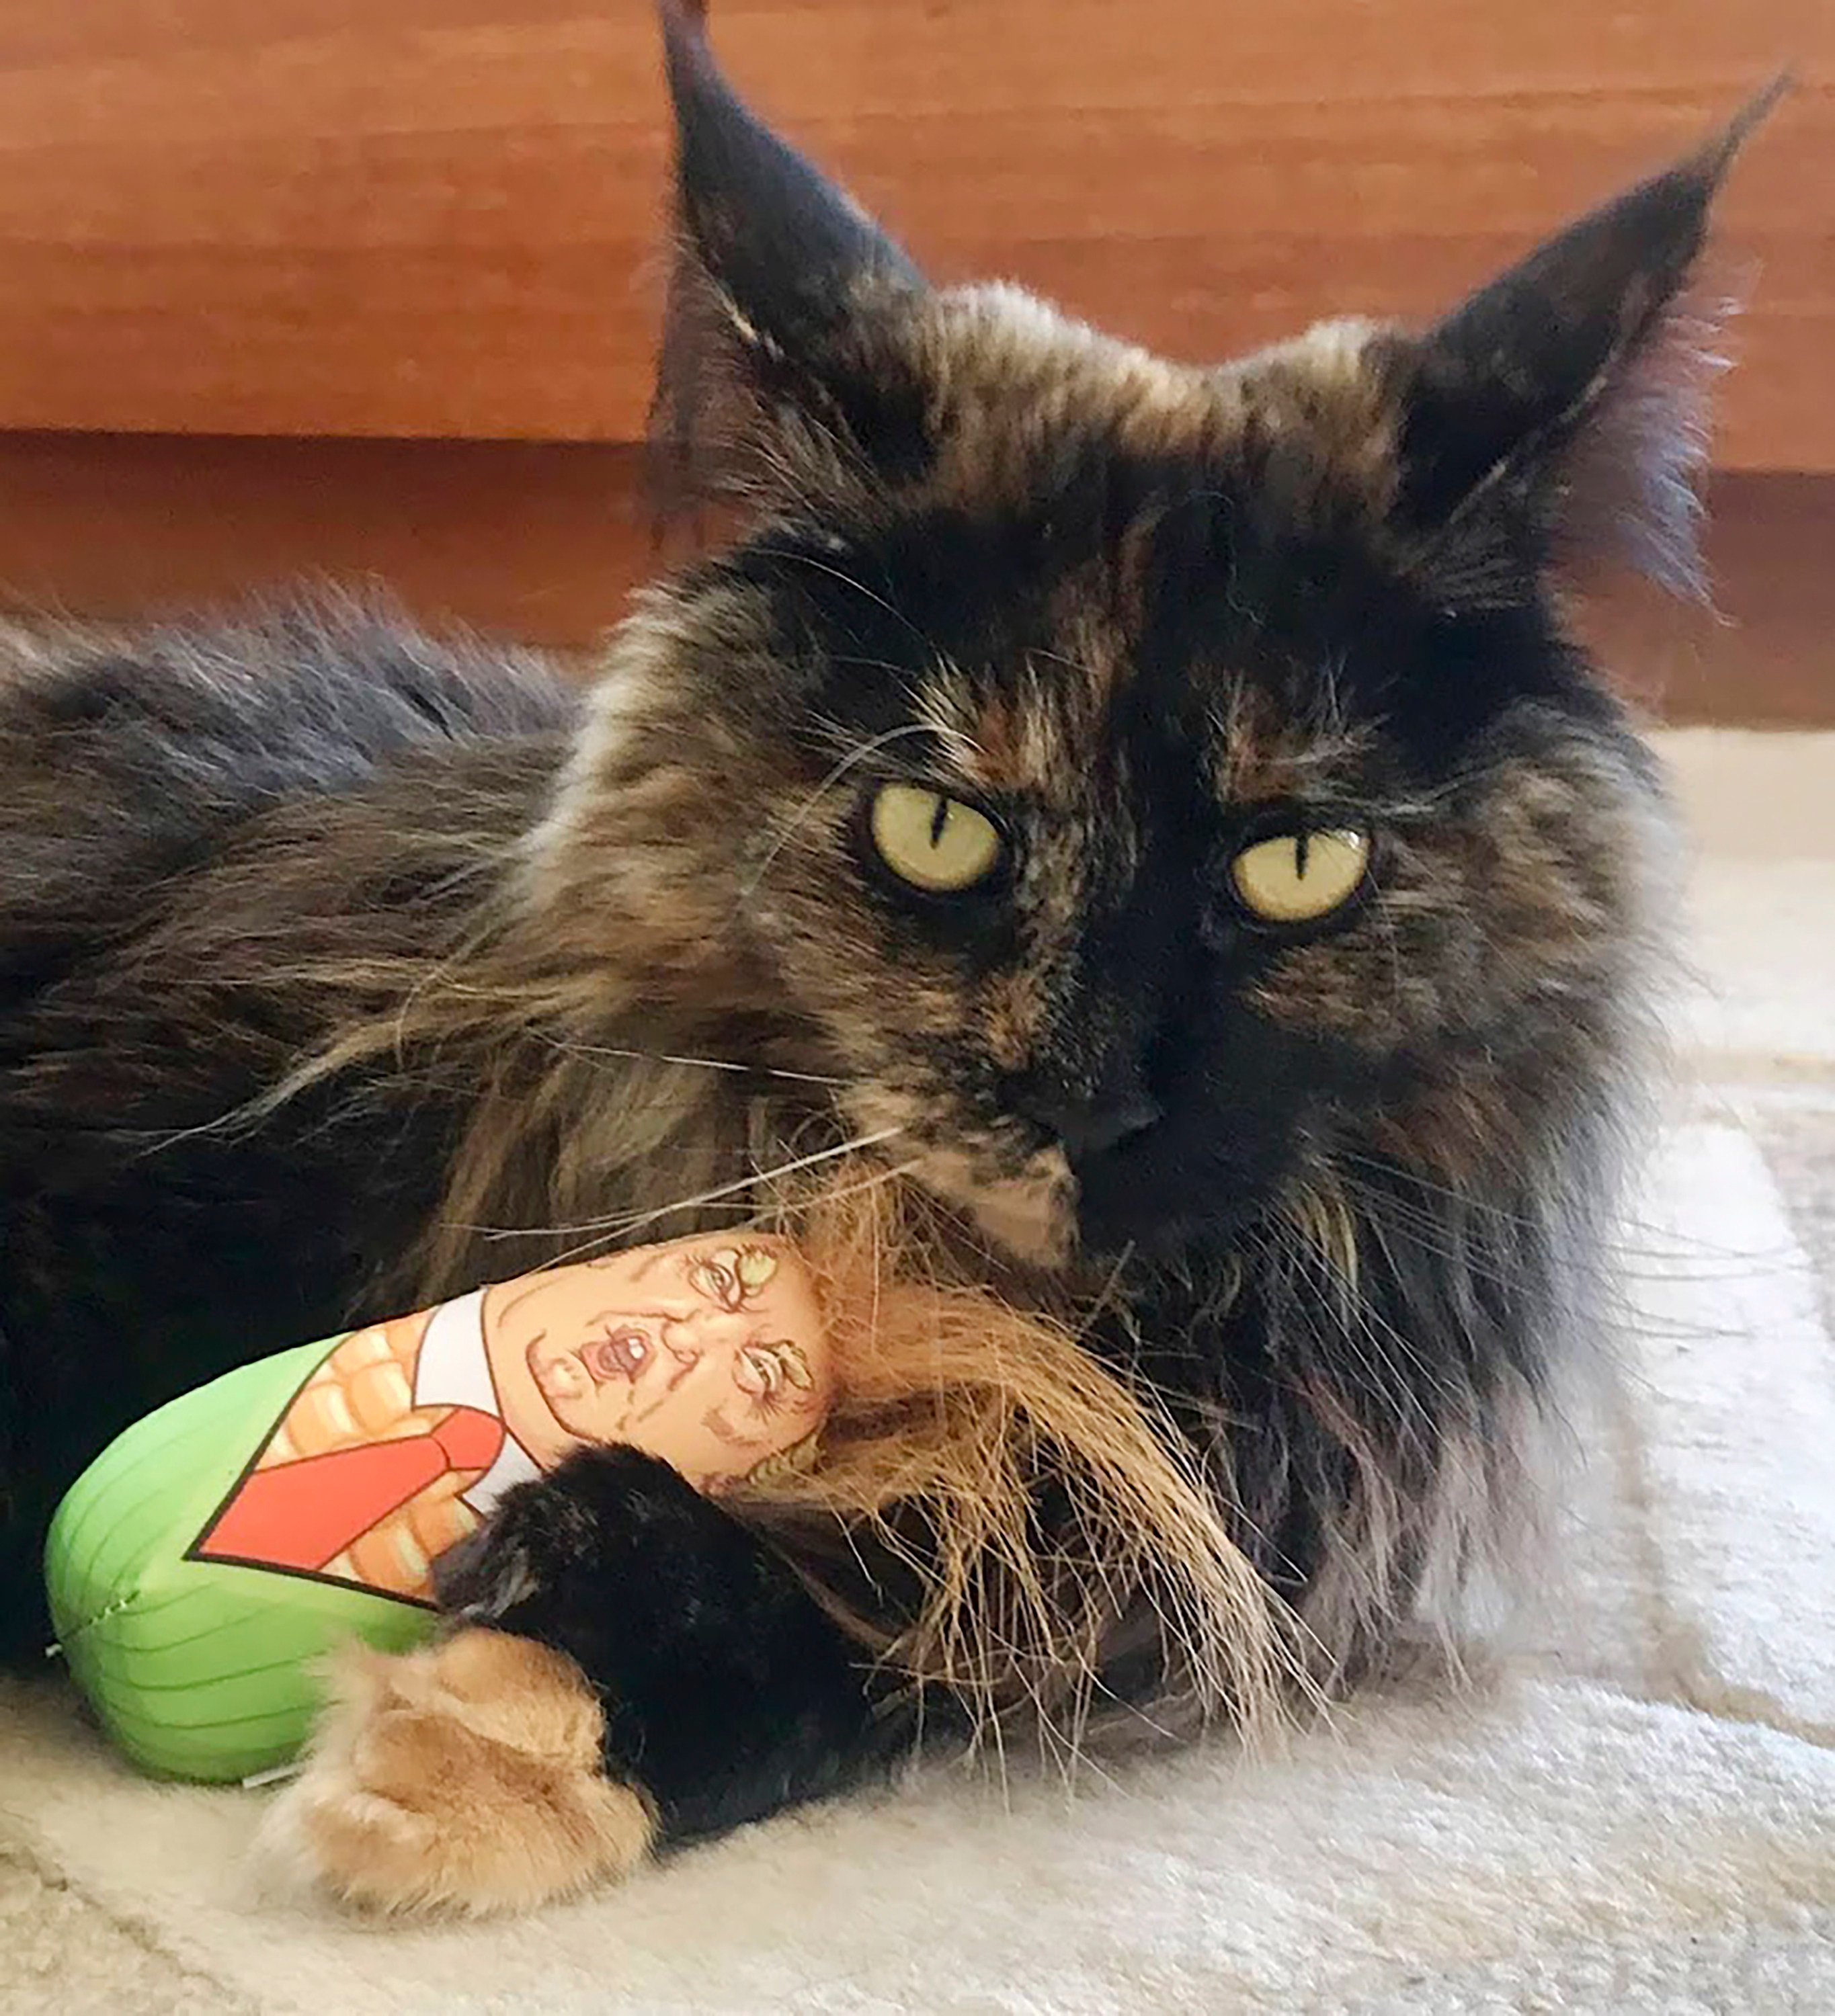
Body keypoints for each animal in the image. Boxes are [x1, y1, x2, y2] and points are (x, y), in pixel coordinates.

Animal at [0, 0, 1783, 1911]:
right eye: (939, 830)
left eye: (1299, 864)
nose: (1090, 1102)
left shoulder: (1214, 1521)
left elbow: (905, 1633)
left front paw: (505, 1723)